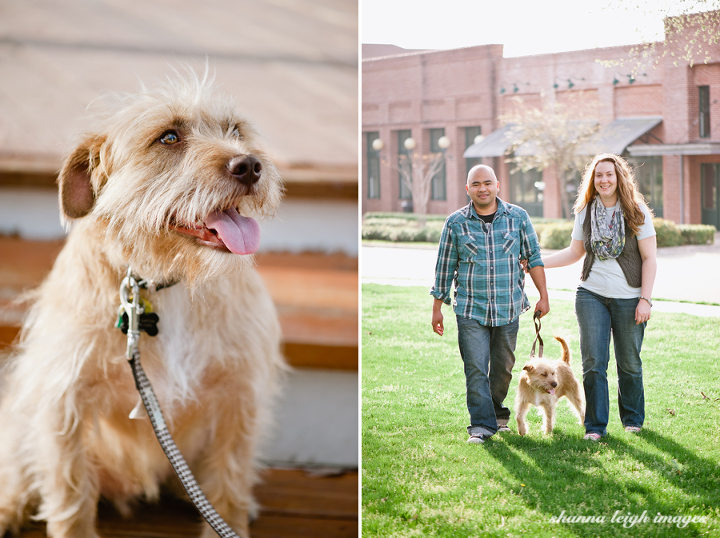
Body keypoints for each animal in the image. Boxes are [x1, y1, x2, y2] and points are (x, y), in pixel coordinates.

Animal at [0, 70, 286, 536]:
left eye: (236, 131)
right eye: (168, 137)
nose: (250, 165)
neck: (163, 283)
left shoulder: (238, 396)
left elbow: (229, 481)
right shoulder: (62, 400)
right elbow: (68, 492)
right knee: (19, 469)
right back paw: (8, 507)